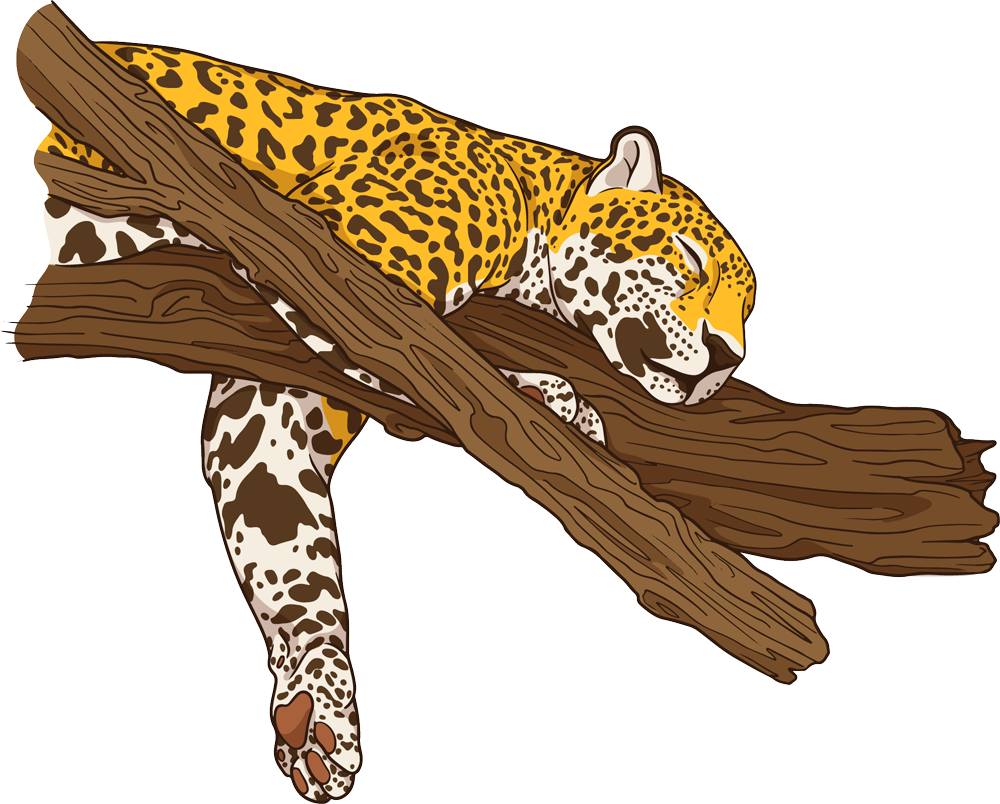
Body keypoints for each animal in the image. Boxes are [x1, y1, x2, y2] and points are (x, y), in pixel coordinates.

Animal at [38, 41, 756, 802]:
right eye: (688, 258)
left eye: (749, 313)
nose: (726, 356)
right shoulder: (345, 262)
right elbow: (442, 369)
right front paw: (554, 401)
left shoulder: (275, 403)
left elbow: (289, 546)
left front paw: (317, 706)